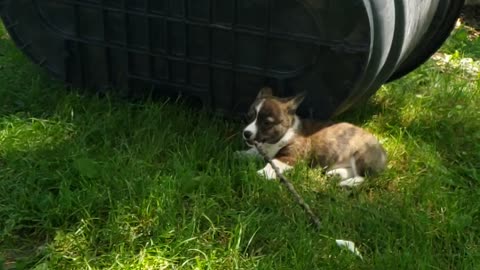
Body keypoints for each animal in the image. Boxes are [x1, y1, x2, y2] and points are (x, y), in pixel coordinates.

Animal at [240, 87, 386, 187]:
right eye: (249, 117)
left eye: (267, 123)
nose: (246, 133)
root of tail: (383, 153)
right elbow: (250, 152)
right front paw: (239, 155)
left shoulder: (289, 157)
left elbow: (273, 163)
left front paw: (261, 174)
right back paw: (337, 174)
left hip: (361, 155)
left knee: (364, 177)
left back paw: (348, 183)